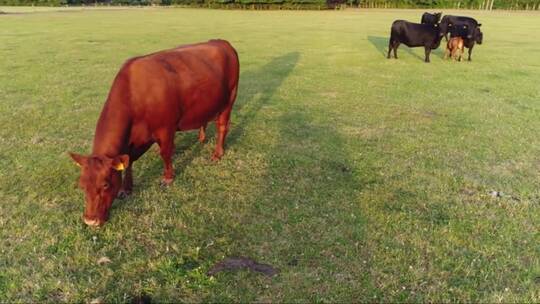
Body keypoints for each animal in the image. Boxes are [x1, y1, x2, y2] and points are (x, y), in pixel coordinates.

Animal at [70, 39, 239, 226]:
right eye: (81, 185)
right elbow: (129, 162)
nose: (90, 221)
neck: (134, 95)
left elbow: (165, 153)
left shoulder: (165, 129)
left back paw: (217, 154)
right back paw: (201, 138)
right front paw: (126, 189)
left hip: (229, 99)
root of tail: (221, 42)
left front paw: (168, 177)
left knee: (222, 127)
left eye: (105, 185)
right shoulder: (133, 142)